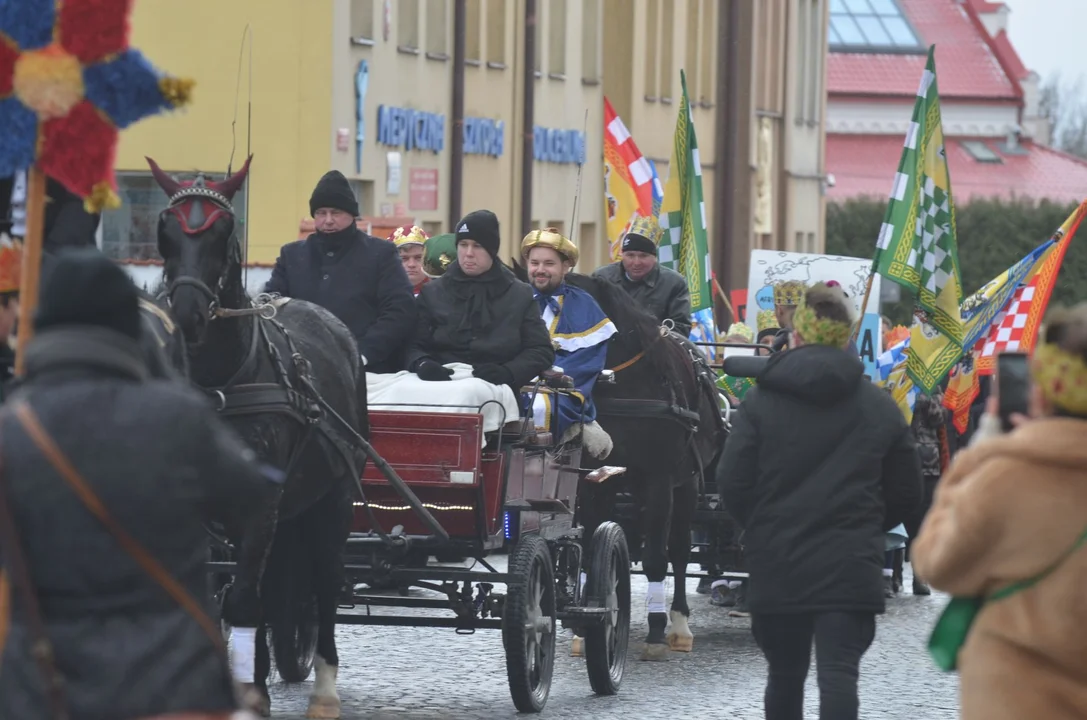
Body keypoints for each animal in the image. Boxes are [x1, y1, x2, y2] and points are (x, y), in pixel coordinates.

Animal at [148, 155, 369, 717]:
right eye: (165, 230)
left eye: (225, 230)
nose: (186, 315)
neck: (220, 385)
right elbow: (208, 598)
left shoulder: (262, 502)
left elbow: (244, 599)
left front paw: (250, 694)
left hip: (332, 500)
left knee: (325, 581)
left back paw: (324, 688)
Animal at [513, 264, 726, 661]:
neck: (624, 384)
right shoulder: (594, 481)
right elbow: (589, 542)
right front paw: (586, 621)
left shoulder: (659, 480)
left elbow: (658, 556)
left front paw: (656, 631)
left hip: (687, 484)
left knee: (677, 551)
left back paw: (679, 625)